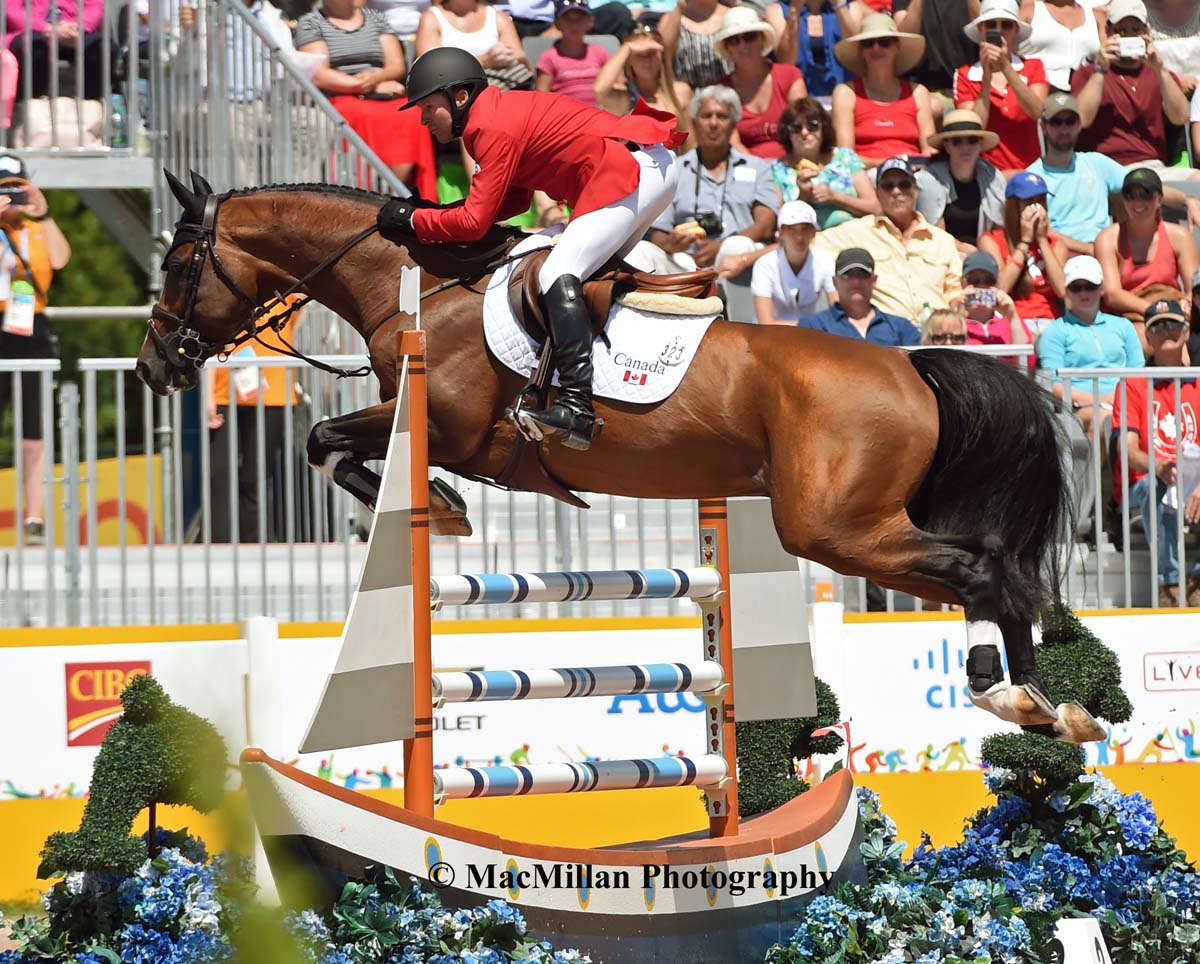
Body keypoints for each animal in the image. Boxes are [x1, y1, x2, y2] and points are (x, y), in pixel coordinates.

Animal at [133, 171, 1104, 744]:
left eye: (179, 262)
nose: (151, 368)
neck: (416, 286)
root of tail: (911, 364)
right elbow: (321, 441)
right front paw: (437, 506)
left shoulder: (446, 425)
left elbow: (326, 440)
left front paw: (436, 505)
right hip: (861, 523)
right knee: (985, 570)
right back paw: (1037, 704)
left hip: (835, 528)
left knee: (983, 572)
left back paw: (1025, 700)